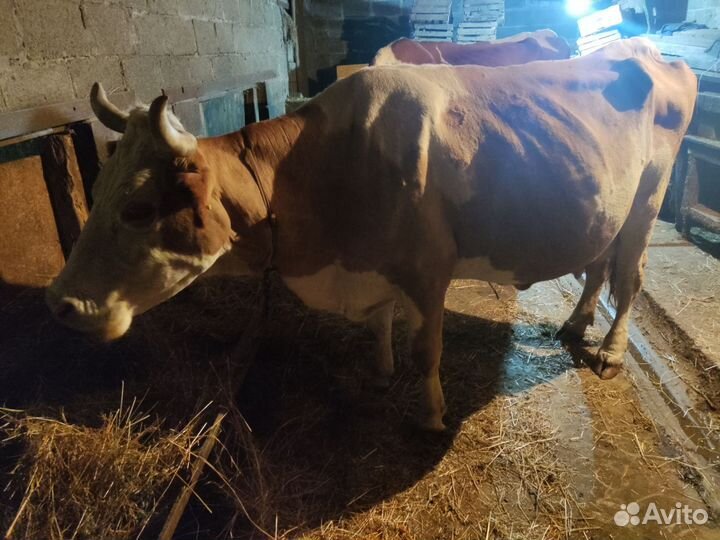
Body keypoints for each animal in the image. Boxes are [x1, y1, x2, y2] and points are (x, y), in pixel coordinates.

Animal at [46, 39, 696, 431]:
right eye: (97, 187)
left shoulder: (429, 267)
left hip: (650, 196)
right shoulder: (371, 263)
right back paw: (575, 324)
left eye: (139, 208)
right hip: (607, 208)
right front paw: (381, 373)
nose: (61, 303)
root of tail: (645, 50)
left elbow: (425, 348)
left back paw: (609, 350)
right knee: (597, 264)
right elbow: (382, 322)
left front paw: (431, 417)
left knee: (630, 275)